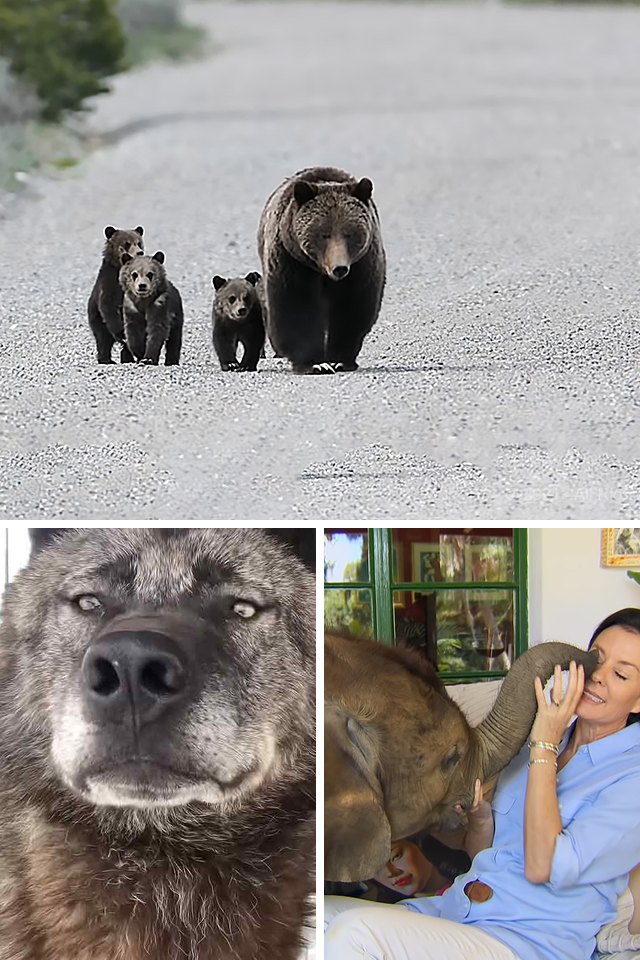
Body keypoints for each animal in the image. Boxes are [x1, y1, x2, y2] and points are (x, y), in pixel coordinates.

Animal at [87, 225, 144, 363]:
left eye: (139, 243)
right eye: (127, 243)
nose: (139, 252)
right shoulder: (109, 282)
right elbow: (109, 305)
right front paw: (121, 333)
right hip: (97, 319)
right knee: (103, 339)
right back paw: (106, 359)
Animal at [257, 166, 386, 374]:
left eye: (349, 234)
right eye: (324, 234)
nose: (339, 268)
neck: (322, 272)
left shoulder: (361, 266)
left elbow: (351, 308)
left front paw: (339, 360)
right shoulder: (292, 262)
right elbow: (297, 308)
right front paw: (314, 363)